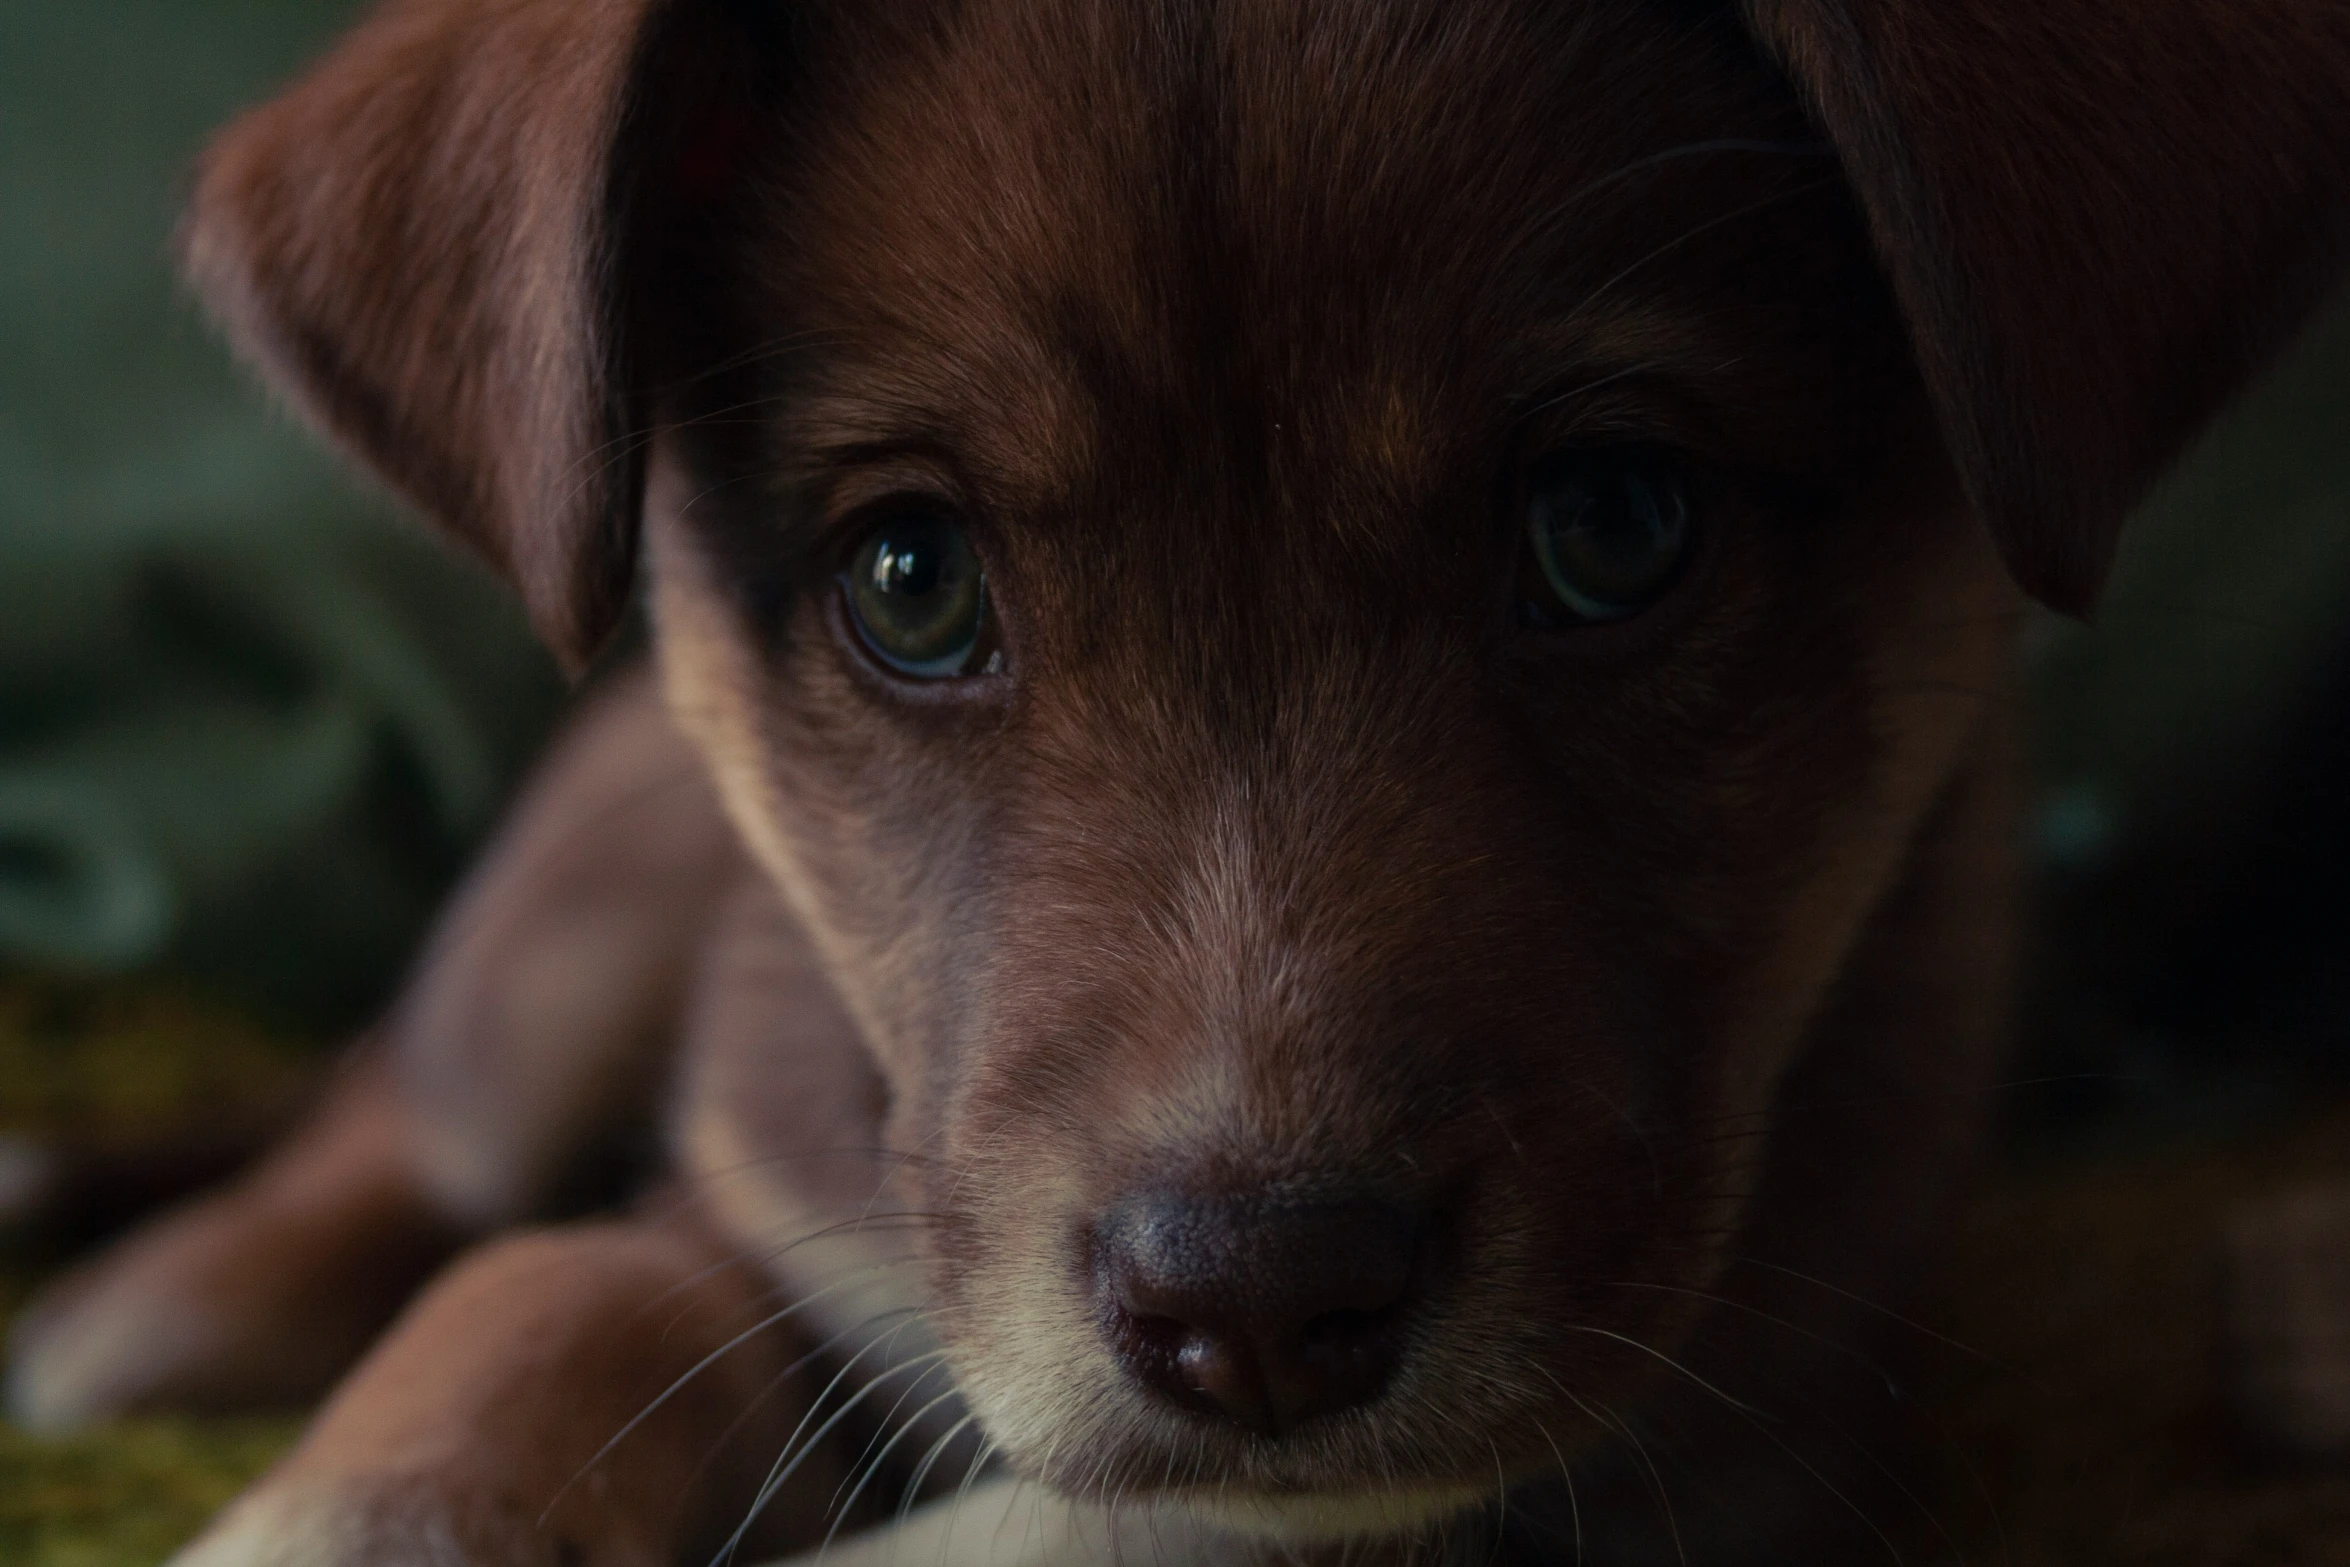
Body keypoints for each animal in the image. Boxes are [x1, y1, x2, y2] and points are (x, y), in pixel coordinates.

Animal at [4, 0, 2350, 1559]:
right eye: (912, 578)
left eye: (1612, 523)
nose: (1255, 1312)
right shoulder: (779, 1211)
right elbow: (559, 1285)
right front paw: (362, 1504)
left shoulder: (1705, 1460)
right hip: (566, 923)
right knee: (404, 1126)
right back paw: (161, 1303)